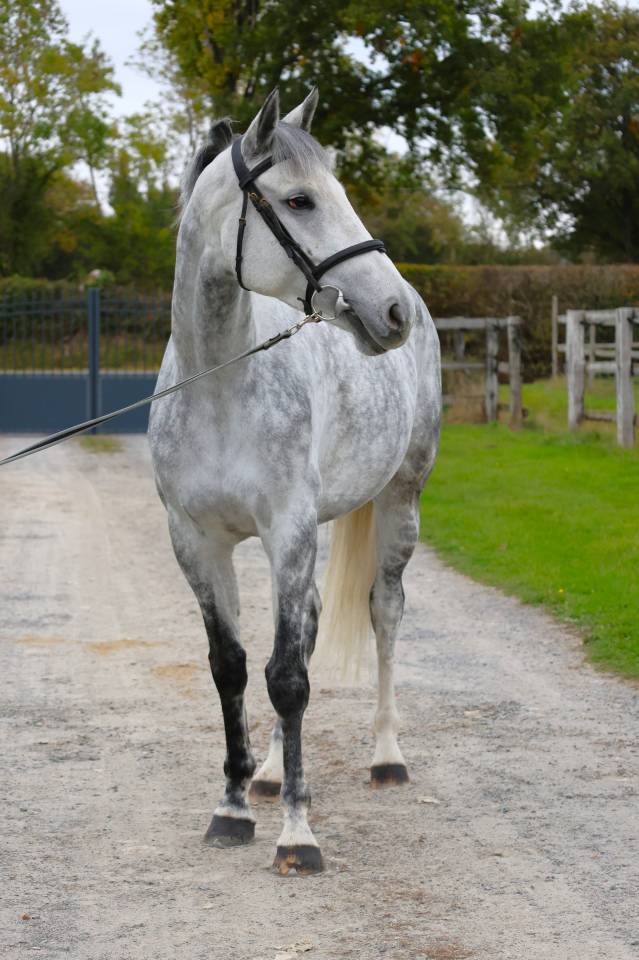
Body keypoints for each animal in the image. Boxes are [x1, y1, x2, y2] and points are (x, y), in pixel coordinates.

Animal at [148, 88, 441, 875]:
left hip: (398, 504)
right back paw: (276, 772)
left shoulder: (288, 532)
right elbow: (234, 667)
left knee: (384, 613)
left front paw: (297, 836)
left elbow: (288, 678)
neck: (220, 387)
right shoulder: (197, 544)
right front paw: (233, 806)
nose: (389, 312)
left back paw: (386, 756)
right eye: (300, 199)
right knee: (303, 629)